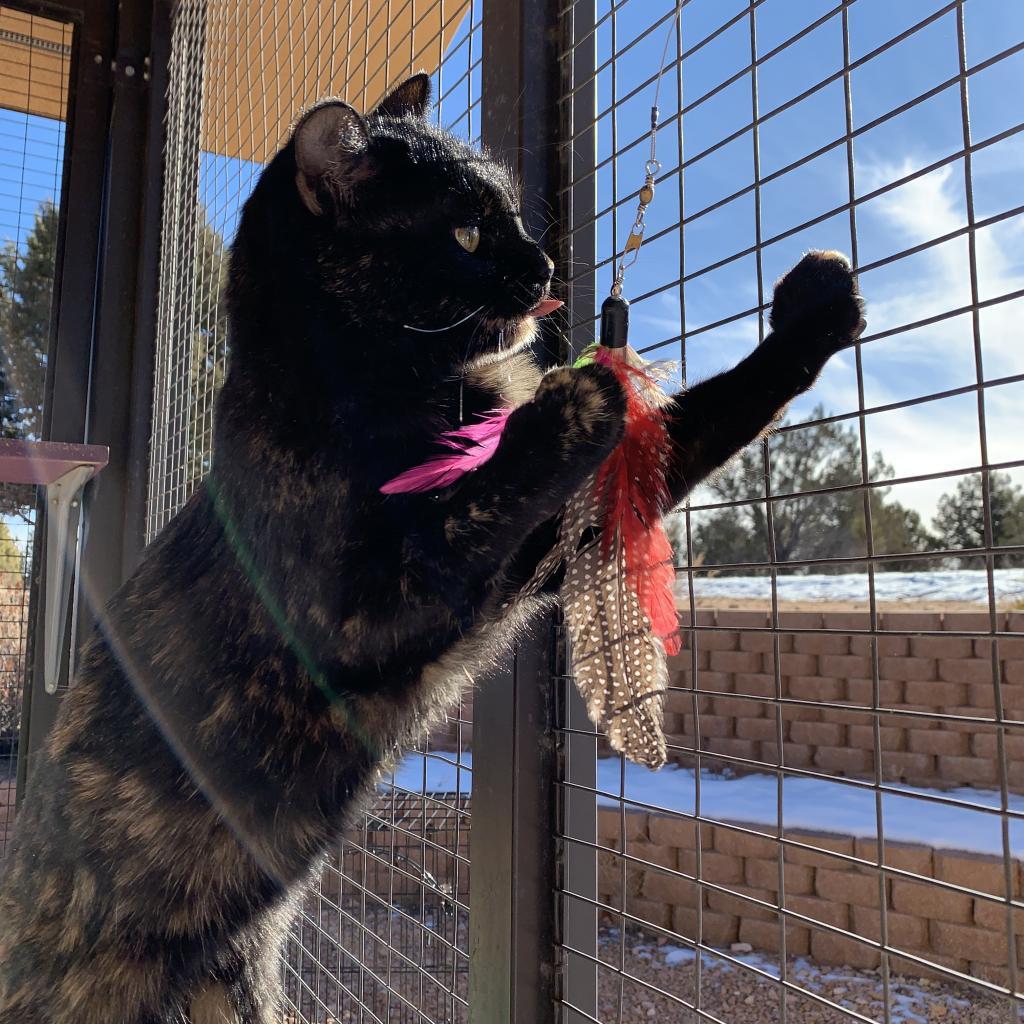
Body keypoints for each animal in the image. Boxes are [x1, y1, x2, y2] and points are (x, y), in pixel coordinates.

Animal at [0, 74, 864, 1024]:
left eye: (514, 216)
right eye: (465, 231)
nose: (544, 266)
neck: (372, 384)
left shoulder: (551, 545)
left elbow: (702, 418)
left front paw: (815, 312)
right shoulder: (358, 614)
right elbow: (475, 499)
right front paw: (570, 403)